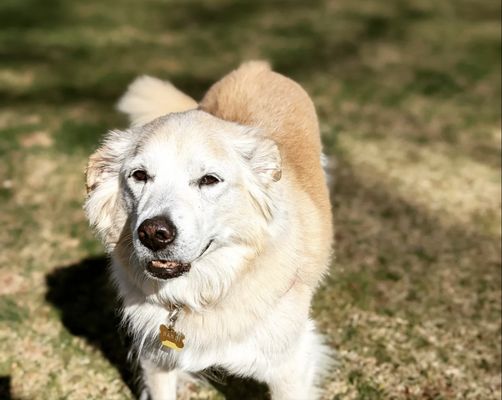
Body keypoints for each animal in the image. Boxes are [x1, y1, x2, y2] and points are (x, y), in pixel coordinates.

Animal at [85, 61, 334, 398]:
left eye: (209, 180)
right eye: (139, 175)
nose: (153, 233)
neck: (208, 292)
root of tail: (255, 67)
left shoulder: (291, 367)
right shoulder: (155, 360)